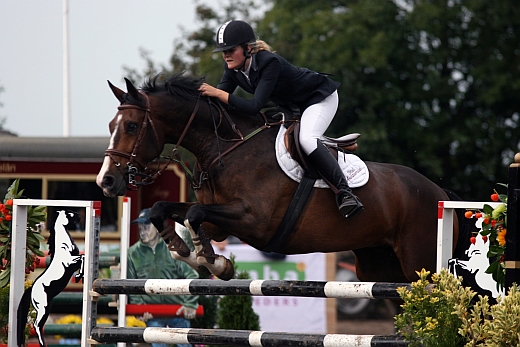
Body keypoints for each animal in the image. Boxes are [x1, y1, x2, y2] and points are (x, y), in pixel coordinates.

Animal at [17, 211, 83, 346]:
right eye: (69, 214)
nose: (79, 217)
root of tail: (31, 289)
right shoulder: (70, 263)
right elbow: (82, 258)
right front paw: (79, 276)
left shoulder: (74, 262)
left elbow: (82, 259)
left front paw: (79, 276)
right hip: (43, 307)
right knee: (37, 325)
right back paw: (42, 343)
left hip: (47, 307)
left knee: (39, 325)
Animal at [95, 75, 462, 284]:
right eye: (111, 125)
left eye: (131, 126)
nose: (106, 182)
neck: (226, 148)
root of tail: (441, 193)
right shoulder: (220, 222)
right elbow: (167, 210)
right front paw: (187, 250)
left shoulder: (254, 221)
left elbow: (195, 215)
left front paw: (215, 263)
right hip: (377, 265)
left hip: (419, 264)